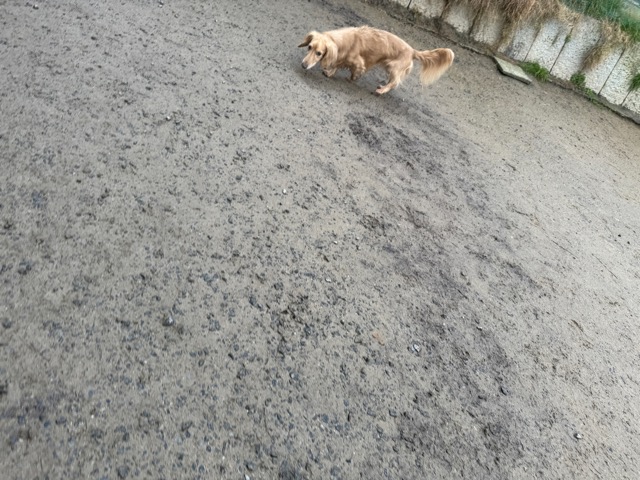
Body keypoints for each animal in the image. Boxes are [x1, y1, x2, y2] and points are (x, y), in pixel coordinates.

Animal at [299, 26, 454, 94]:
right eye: (309, 47)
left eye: (319, 53)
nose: (303, 65)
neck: (345, 40)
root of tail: (412, 51)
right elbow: (338, 64)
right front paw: (330, 72)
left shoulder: (358, 61)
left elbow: (354, 69)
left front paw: (352, 77)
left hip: (393, 66)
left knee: (395, 82)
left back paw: (382, 89)